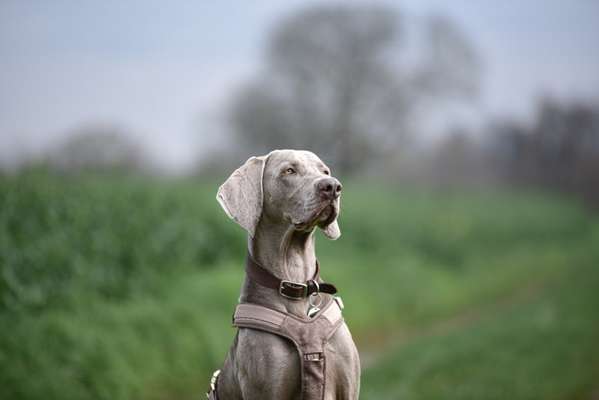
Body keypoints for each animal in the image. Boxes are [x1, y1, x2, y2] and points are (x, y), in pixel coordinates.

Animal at [210, 150, 360, 400]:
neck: (297, 282)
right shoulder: (266, 388)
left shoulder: (348, 388)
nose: (333, 186)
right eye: (289, 171)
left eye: (324, 171)